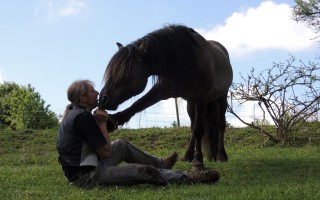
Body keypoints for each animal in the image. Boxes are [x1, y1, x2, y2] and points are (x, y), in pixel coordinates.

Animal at [97, 23, 232, 170]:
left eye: (124, 73)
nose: (102, 99)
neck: (186, 59)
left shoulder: (201, 97)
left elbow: (199, 130)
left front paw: (198, 162)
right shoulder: (162, 91)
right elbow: (137, 105)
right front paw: (113, 120)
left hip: (221, 98)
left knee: (219, 124)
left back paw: (221, 156)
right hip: (191, 103)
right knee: (192, 126)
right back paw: (187, 155)